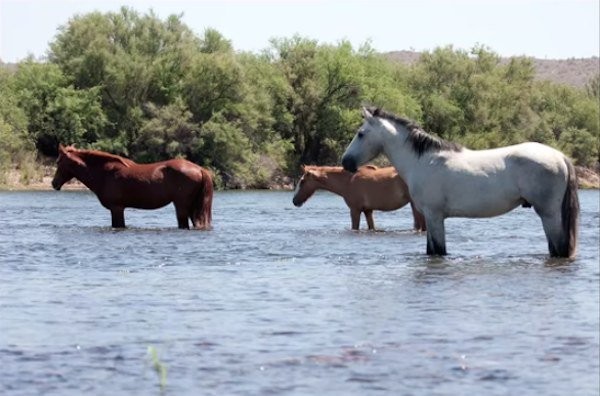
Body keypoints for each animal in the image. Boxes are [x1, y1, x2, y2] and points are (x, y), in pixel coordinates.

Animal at [52, 144, 213, 229]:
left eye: (58, 162)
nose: (54, 183)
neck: (104, 173)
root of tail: (199, 169)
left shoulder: (116, 209)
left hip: (181, 206)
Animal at [292, 165, 426, 232]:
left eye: (302, 181)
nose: (294, 201)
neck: (347, 182)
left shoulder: (355, 210)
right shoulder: (368, 210)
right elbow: (371, 227)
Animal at [340, 106, 580, 258]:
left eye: (361, 133)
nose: (346, 162)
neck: (423, 161)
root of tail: (560, 156)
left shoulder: (434, 216)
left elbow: (438, 251)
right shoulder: (432, 219)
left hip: (549, 214)